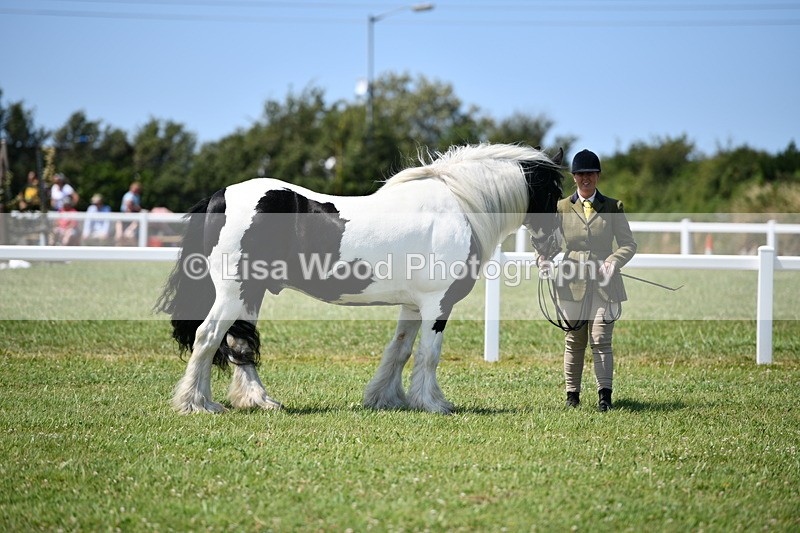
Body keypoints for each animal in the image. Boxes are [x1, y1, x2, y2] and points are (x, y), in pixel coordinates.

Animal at [156, 143, 564, 414]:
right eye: (555, 191)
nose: (555, 245)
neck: (457, 208)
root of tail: (219, 198)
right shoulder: (438, 304)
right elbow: (429, 354)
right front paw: (434, 403)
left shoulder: (413, 306)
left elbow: (400, 351)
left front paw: (385, 398)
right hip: (232, 293)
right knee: (207, 336)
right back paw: (197, 404)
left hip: (249, 294)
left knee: (238, 342)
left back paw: (259, 400)